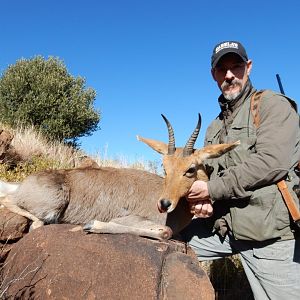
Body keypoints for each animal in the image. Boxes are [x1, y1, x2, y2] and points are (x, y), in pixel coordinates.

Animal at [0, 113, 239, 240]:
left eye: (190, 169)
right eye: (164, 168)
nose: (164, 204)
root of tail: (25, 183)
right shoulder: (130, 219)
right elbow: (164, 231)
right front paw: (92, 225)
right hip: (51, 207)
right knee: (10, 202)